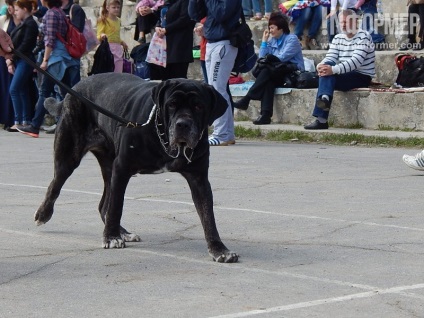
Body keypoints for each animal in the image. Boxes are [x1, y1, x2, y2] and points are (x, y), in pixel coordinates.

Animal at [37, 73, 238, 262]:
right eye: (171, 104)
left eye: (199, 106)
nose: (183, 124)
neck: (161, 135)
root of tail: (75, 87)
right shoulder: (122, 168)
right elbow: (117, 206)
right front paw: (111, 238)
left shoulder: (199, 179)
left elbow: (208, 216)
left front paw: (219, 249)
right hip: (69, 156)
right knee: (56, 185)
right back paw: (43, 214)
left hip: (108, 167)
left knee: (103, 205)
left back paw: (123, 232)